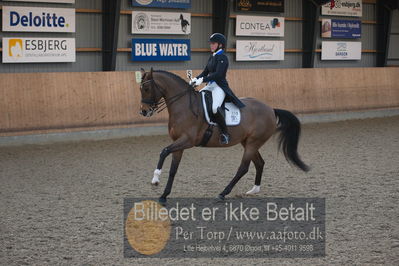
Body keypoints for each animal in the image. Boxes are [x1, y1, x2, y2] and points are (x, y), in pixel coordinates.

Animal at [139, 67, 310, 204]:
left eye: (146, 88)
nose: (143, 112)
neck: (184, 107)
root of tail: (271, 109)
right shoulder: (178, 143)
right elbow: (173, 169)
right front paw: (164, 195)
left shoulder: (187, 141)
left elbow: (164, 151)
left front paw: (155, 179)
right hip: (248, 142)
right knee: (259, 163)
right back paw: (254, 190)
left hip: (253, 143)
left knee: (243, 168)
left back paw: (223, 193)